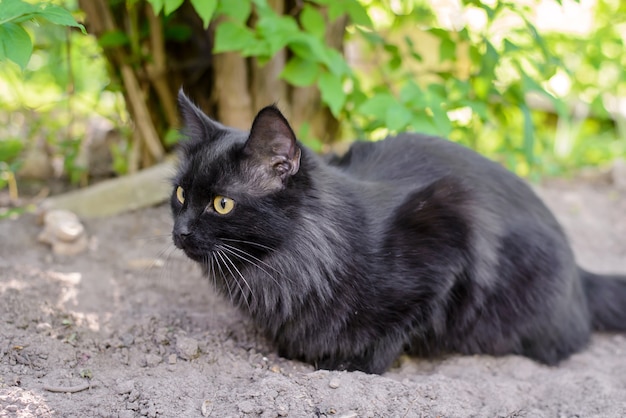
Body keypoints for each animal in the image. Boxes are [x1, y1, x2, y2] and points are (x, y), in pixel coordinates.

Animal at [169, 90, 624, 374]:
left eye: (221, 204)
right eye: (180, 194)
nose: (181, 231)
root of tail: (581, 276)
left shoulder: (449, 225)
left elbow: (395, 329)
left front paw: (349, 365)